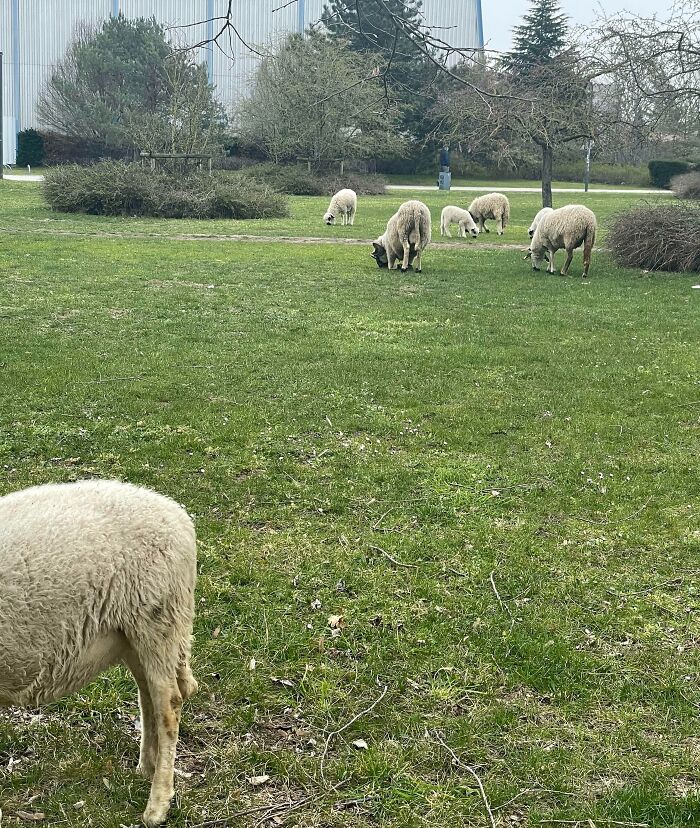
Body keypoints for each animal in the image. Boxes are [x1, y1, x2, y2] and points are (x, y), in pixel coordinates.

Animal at [0, 479, 198, 827]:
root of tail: (177, 515)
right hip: (130, 632)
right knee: (148, 694)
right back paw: (146, 767)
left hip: (157, 619)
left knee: (169, 704)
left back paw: (157, 804)